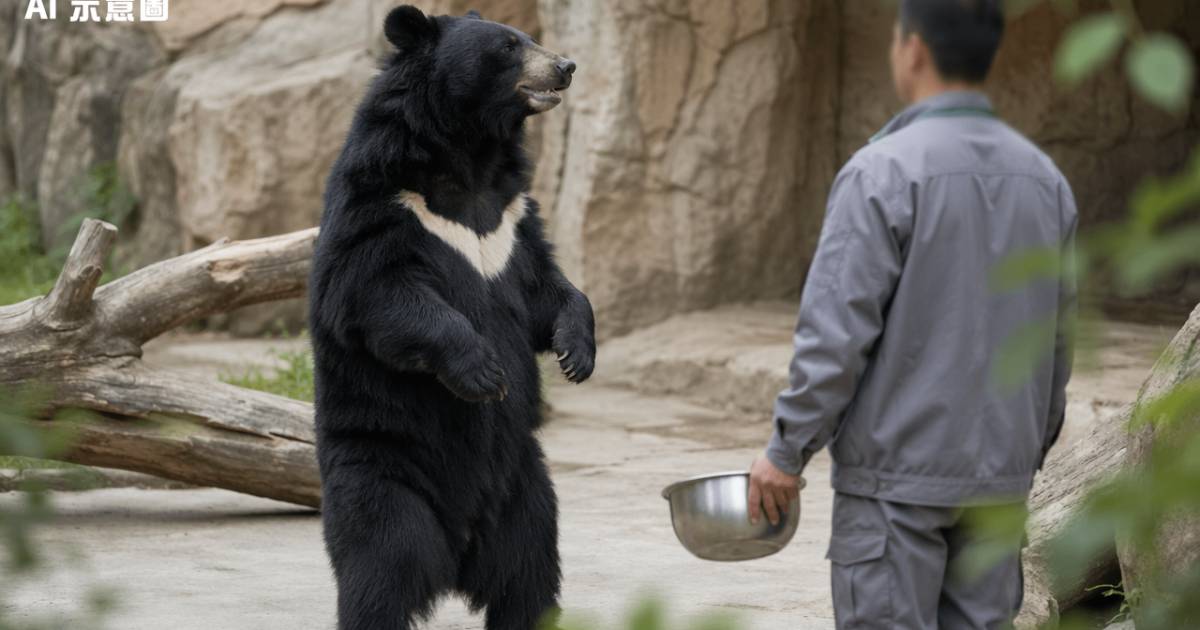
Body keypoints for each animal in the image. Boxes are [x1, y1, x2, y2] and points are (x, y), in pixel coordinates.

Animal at [308, 6, 594, 630]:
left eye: (530, 38)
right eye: (508, 46)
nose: (565, 66)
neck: (470, 152)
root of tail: (459, 552)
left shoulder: (511, 216)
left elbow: (546, 289)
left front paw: (576, 353)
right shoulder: (386, 201)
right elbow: (376, 292)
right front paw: (483, 372)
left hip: (525, 488)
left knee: (529, 578)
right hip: (382, 465)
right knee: (381, 568)